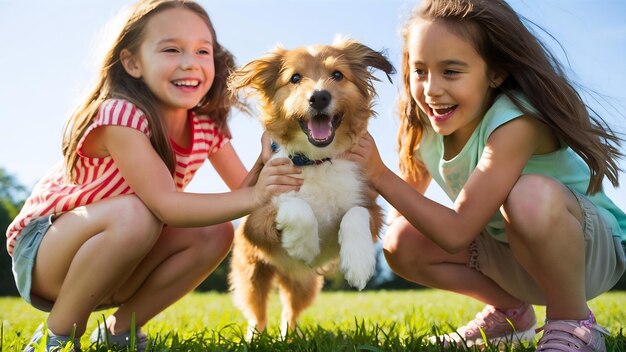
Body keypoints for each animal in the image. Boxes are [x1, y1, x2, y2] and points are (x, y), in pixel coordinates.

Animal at [228, 37, 394, 336]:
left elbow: (355, 213)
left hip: (304, 286)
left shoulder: (373, 208)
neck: (318, 161)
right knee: (257, 313)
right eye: (295, 78)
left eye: (337, 75)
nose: (319, 97)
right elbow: (296, 206)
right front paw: (304, 247)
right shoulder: (255, 222)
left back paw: (288, 337)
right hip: (253, 275)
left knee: (290, 312)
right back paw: (255, 338)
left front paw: (359, 263)